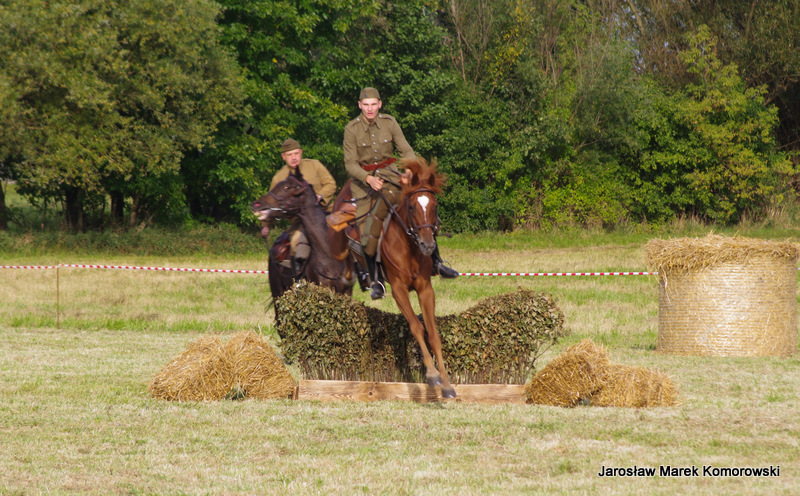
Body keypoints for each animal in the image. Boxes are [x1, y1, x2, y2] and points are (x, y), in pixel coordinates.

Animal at [330, 157, 457, 399]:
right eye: (411, 206)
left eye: (434, 206)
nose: (428, 245)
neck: (410, 247)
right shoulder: (399, 290)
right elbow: (416, 326)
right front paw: (432, 375)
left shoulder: (425, 289)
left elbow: (433, 333)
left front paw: (446, 385)